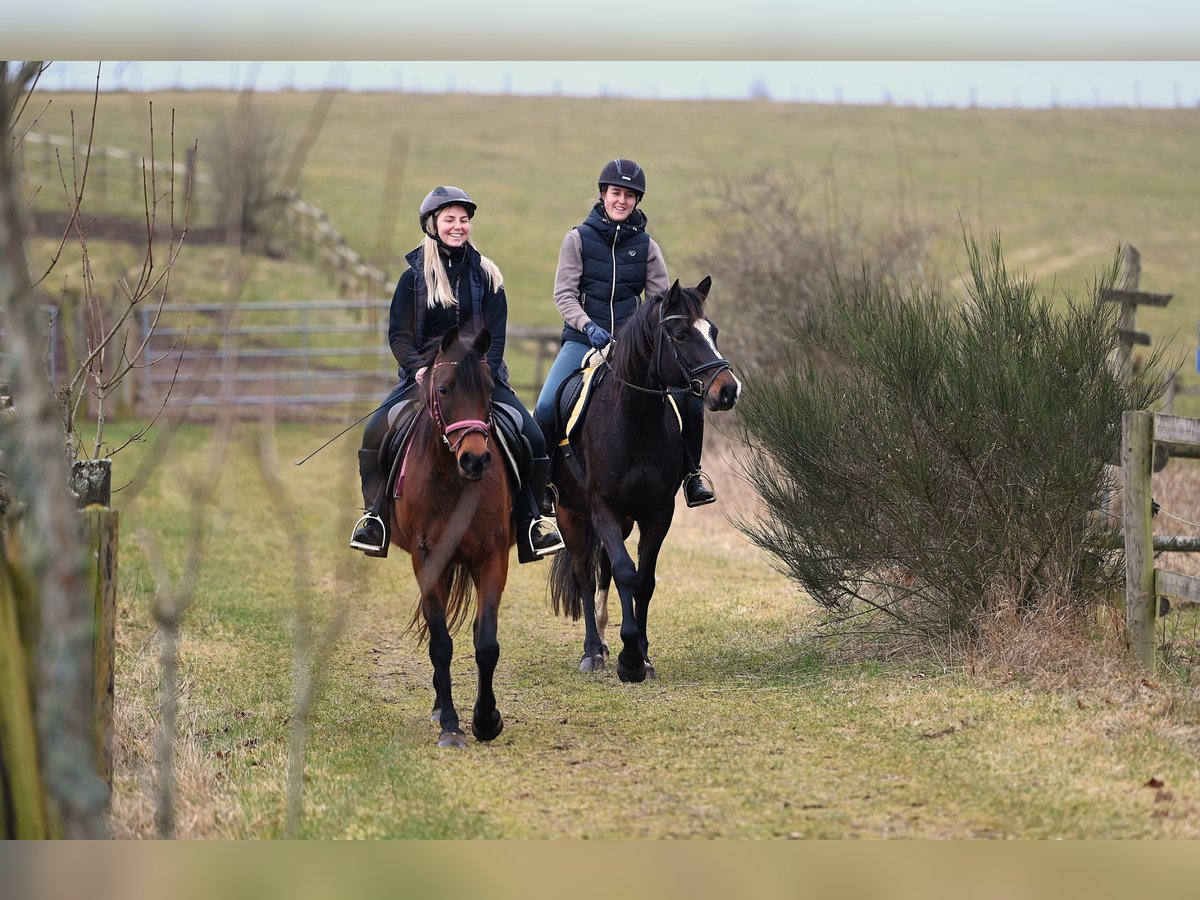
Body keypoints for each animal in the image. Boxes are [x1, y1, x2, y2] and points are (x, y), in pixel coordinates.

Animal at [388, 328, 511, 748]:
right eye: (443, 389)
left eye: (489, 388)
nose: (475, 460)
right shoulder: (427, 558)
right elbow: (441, 643)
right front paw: (451, 726)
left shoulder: (492, 557)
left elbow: (485, 642)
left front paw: (486, 720)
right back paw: (441, 707)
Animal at [549, 277, 739, 681]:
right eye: (681, 335)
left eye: (713, 331)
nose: (729, 390)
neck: (633, 420)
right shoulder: (602, 509)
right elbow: (625, 573)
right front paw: (630, 658)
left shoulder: (658, 513)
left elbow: (644, 580)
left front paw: (643, 656)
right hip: (571, 514)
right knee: (585, 575)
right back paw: (593, 651)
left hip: (620, 523)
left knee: (603, 569)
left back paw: (605, 640)